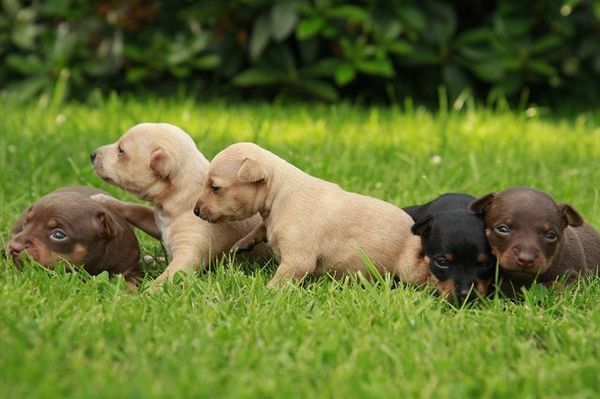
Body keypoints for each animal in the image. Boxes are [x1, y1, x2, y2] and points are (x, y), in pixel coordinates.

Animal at [91, 123, 262, 282]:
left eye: (121, 150)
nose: (92, 154)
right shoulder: (158, 223)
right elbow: (136, 209)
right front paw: (101, 199)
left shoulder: (187, 257)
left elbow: (165, 279)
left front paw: (144, 293)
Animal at [195, 142, 428, 290]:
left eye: (215, 188)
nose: (195, 211)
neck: (278, 195)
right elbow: (260, 228)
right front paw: (244, 242)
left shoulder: (297, 261)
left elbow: (281, 280)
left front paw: (266, 293)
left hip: (409, 267)